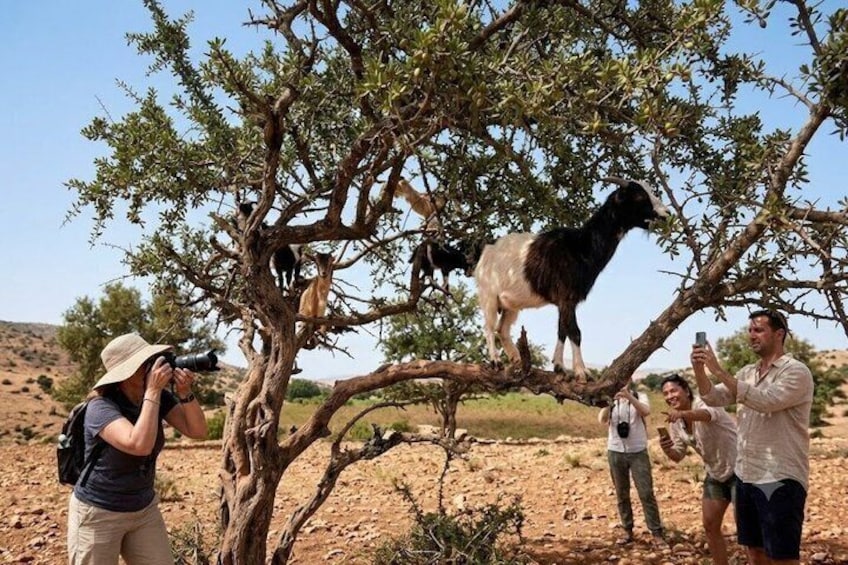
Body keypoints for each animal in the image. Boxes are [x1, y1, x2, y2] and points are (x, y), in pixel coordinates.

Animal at [473, 177, 670, 378]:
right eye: (639, 196)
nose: (666, 214)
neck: (580, 246)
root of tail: (487, 253)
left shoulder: (566, 301)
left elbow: (562, 331)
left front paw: (560, 366)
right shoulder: (566, 297)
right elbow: (575, 332)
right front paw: (581, 371)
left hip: (510, 304)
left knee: (502, 329)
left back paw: (516, 359)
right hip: (488, 295)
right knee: (489, 327)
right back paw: (496, 361)